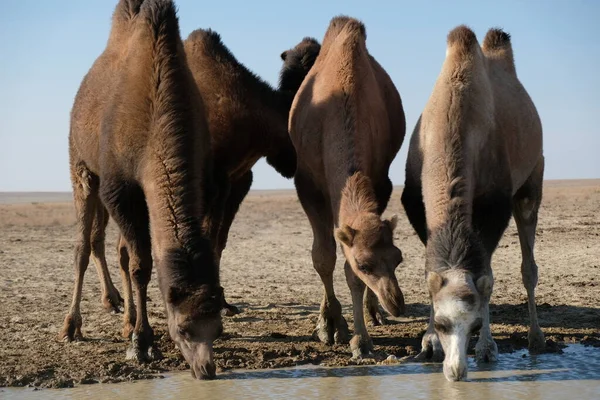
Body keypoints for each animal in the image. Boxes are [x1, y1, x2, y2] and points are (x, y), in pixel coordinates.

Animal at [60, 0, 223, 380]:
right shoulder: (121, 189)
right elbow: (141, 265)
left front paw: (136, 332)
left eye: (218, 328)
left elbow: (135, 257)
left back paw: (124, 316)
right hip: (81, 165)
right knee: (84, 246)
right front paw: (142, 343)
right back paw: (73, 326)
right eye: (183, 329)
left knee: (114, 248)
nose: (207, 370)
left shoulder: (201, 178)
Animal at [286, 16, 408, 360]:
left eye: (398, 258)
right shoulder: (307, 183)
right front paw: (330, 326)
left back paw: (373, 312)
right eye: (365, 263)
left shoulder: (380, 179)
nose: (397, 303)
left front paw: (361, 337)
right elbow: (324, 256)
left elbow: (346, 269)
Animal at [400, 25, 548, 382]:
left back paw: (536, 338)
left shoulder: (494, 206)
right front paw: (429, 344)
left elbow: (488, 278)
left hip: (531, 179)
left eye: (475, 325)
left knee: (528, 265)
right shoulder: (416, 204)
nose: (456, 371)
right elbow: (431, 273)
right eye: (443, 324)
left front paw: (487, 348)